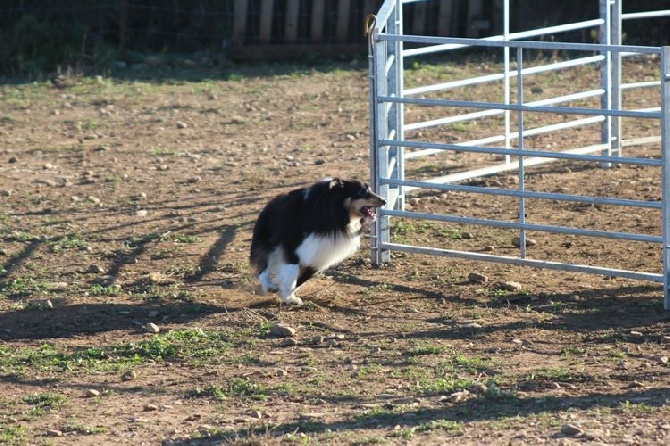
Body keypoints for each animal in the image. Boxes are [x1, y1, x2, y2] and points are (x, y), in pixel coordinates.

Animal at [251, 179, 388, 304]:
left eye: (370, 189)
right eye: (362, 191)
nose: (384, 201)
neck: (336, 215)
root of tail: (271, 202)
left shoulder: (320, 255)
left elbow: (303, 278)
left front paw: (287, 294)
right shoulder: (292, 245)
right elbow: (291, 272)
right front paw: (288, 298)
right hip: (266, 242)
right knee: (262, 266)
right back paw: (267, 285)